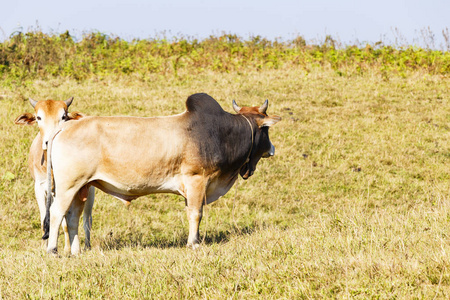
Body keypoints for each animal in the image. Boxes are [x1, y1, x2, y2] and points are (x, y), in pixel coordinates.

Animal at [14, 98, 95, 253]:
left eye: (63, 116)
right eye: (39, 117)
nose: (48, 141)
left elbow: (66, 221)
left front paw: (67, 249)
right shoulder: (40, 188)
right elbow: (44, 221)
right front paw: (45, 247)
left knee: (87, 220)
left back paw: (86, 245)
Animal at [44, 93, 280, 253]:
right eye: (266, 129)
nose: (272, 149)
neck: (223, 132)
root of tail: (63, 128)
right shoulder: (197, 180)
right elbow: (196, 213)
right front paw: (193, 243)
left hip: (81, 187)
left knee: (72, 217)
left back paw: (76, 252)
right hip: (68, 186)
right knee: (56, 213)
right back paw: (53, 250)